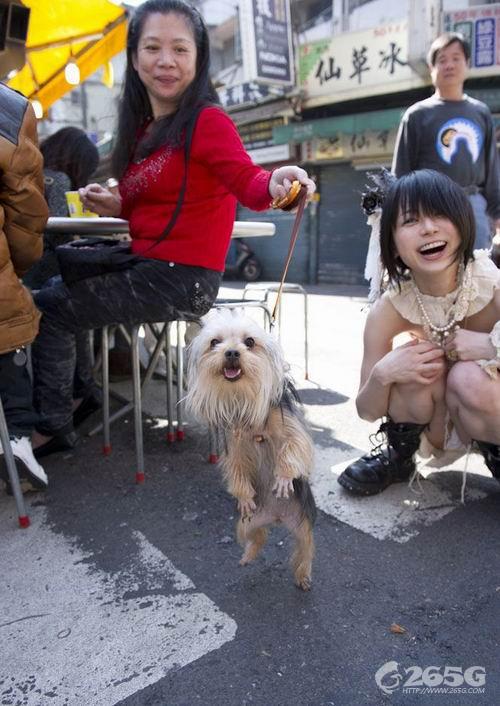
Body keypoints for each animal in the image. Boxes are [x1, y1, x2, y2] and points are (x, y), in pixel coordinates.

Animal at [186, 308, 314, 588]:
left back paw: (303, 576)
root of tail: (277, 517)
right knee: (257, 537)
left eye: (250, 342)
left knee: (305, 549)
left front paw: (284, 478)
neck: (243, 398)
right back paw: (249, 555)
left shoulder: (290, 429)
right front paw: (244, 496)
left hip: (303, 526)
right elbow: (237, 469)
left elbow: (294, 446)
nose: (232, 353)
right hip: (247, 524)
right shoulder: (235, 447)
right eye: (215, 342)